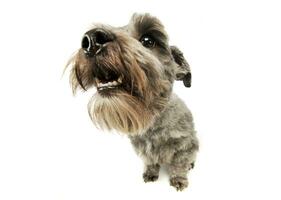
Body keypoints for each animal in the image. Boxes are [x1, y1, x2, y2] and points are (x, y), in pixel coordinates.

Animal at [65, 13, 197, 191]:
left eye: (148, 40)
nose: (91, 40)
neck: (153, 123)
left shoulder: (184, 146)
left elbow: (179, 165)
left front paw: (179, 180)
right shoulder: (142, 149)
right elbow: (150, 162)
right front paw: (150, 173)